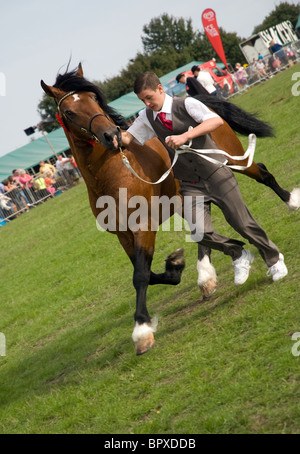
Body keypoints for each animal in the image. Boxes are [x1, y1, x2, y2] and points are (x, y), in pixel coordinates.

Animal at [41, 63, 298, 354]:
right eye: (69, 112)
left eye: (94, 99)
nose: (112, 135)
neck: (115, 173)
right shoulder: (122, 235)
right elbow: (147, 273)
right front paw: (175, 266)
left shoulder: (143, 226)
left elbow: (141, 275)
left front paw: (142, 331)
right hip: (185, 198)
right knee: (204, 231)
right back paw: (206, 277)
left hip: (235, 162)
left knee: (262, 174)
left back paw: (291, 202)